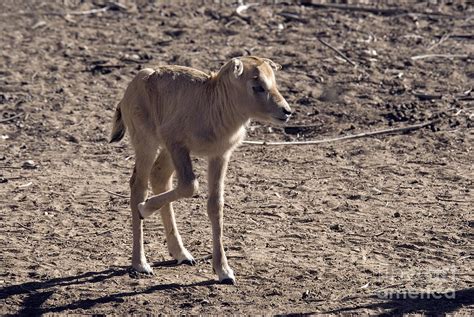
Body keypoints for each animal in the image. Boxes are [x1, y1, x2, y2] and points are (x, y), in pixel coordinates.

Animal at [109, 55, 290, 282]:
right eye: (257, 85)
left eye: (273, 81)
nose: (286, 111)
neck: (211, 103)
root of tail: (130, 90)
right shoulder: (178, 145)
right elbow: (190, 185)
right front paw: (145, 209)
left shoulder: (219, 155)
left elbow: (215, 205)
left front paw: (224, 271)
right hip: (148, 143)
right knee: (138, 185)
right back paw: (141, 262)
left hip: (167, 152)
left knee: (159, 177)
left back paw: (182, 254)